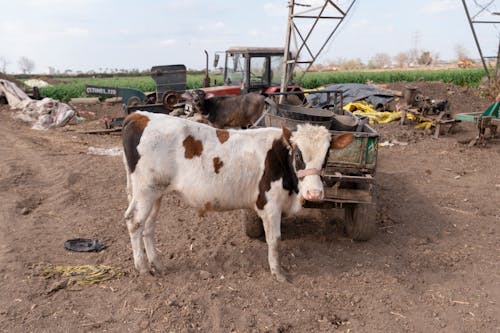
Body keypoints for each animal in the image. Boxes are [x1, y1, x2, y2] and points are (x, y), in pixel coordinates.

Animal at [122, 111, 354, 280]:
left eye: (327, 155)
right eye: (298, 154)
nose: (314, 193)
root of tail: (140, 116)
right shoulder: (270, 205)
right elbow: (275, 240)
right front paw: (278, 272)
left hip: (156, 193)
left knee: (148, 227)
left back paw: (157, 264)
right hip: (145, 191)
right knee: (134, 222)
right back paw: (142, 268)